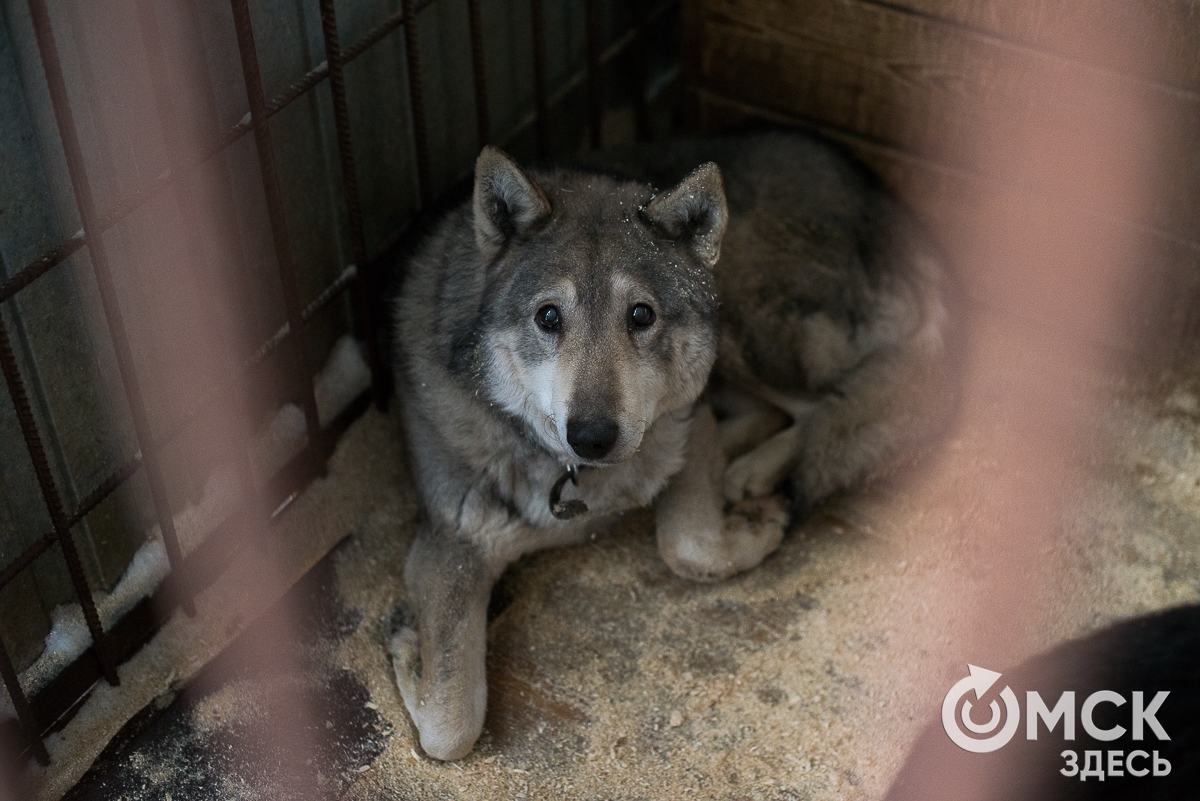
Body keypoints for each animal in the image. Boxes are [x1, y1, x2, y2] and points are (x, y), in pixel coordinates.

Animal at [388, 128, 960, 762]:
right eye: (548, 317)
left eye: (641, 315)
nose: (592, 436)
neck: (578, 481)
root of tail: (891, 204)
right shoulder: (452, 544)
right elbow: (449, 728)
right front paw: (410, 654)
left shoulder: (688, 426)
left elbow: (689, 547)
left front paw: (756, 527)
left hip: (741, 321)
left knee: (822, 407)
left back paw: (753, 473)